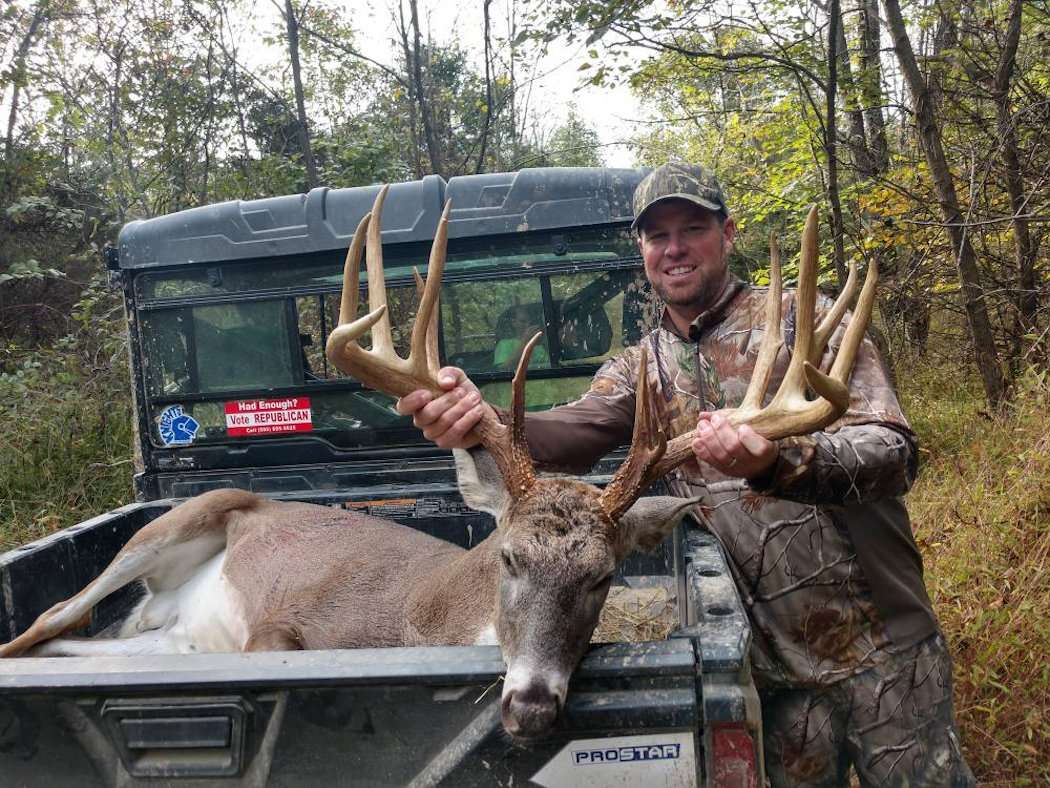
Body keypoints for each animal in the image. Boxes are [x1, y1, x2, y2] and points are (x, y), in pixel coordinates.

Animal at [0, 188, 873, 743]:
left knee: (75, 641)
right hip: (186, 515)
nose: (529, 710)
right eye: (508, 558)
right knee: (51, 617)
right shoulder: (289, 623)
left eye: (601, 578)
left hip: (163, 632)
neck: (433, 621)